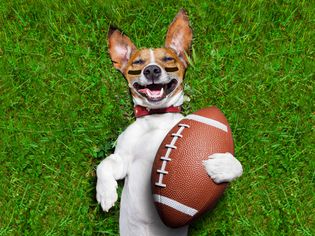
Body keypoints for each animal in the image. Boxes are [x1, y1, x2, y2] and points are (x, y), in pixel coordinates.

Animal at [97, 9, 244, 236]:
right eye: (137, 63)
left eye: (168, 59)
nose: (152, 70)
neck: (157, 117)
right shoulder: (122, 160)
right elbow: (102, 166)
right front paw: (105, 193)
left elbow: (239, 166)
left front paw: (222, 165)